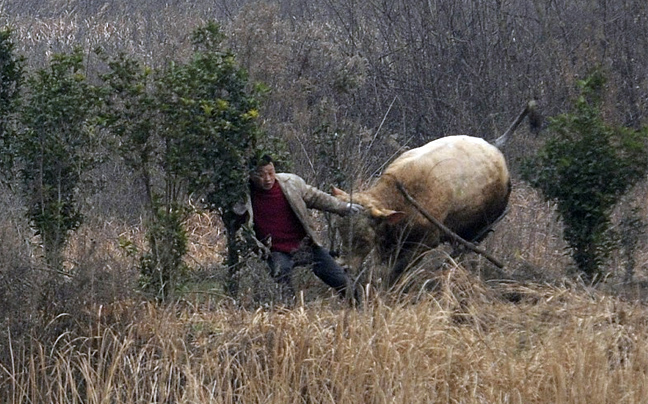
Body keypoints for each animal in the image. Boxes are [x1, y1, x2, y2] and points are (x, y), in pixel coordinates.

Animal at [332, 101, 540, 284]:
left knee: (466, 249)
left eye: (362, 238)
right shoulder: (388, 243)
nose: (344, 268)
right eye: (340, 231)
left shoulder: (427, 240)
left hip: (481, 227)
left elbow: (397, 270)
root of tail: (494, 145)